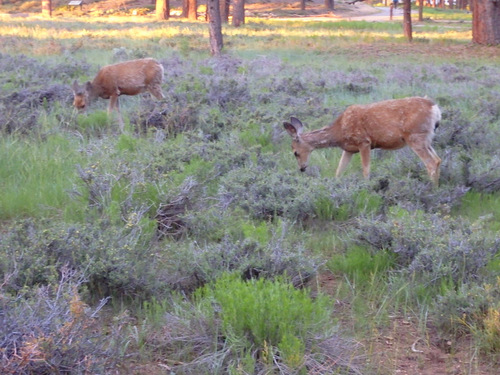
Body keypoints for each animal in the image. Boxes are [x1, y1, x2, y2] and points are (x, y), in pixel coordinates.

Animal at [284, 96, 444, 186]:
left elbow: (366, 170)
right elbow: (339, 170)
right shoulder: (349, 149)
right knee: (438, 159)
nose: (302, 168)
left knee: (431, 162)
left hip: (415, 136)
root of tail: (435, 108)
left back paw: (432, 189)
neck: (339, 132)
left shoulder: (364, 142)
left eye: (295, 152)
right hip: (426, 139)